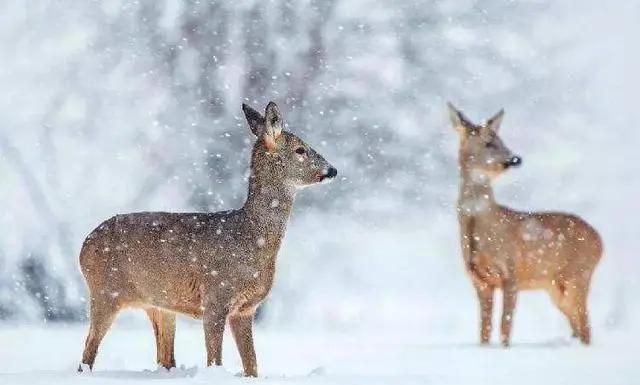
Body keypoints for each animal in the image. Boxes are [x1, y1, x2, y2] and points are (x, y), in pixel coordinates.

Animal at [77, 101, 338, 376]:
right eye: (301, 149)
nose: (332, 170)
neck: (251, 239)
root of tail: (83, 246)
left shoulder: (245, 309)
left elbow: (252, 364)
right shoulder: (215, 296)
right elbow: (215, 359)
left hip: (159, 305)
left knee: (165, 359)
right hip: (105, 290)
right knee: (87, 354)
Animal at [448, 102, 604, 344]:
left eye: (501, 140)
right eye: (488, 142)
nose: (514, 159)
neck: (478, 227)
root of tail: (600, 241)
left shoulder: (511, 271)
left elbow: (505, 327)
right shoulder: (479, 281)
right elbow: (484, 331)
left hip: (579, 275)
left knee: (586, 326)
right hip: (556, 288)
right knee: (578, 326)